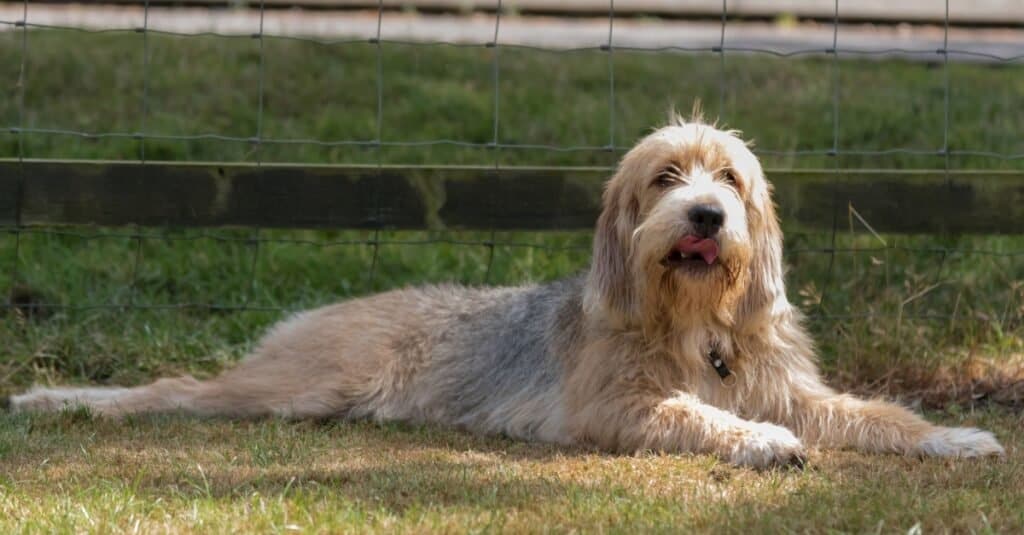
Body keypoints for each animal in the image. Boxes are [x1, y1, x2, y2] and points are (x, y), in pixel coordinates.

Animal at [8, 113, 1003, 467]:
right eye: (666, 176)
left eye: (730, 177)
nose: (706, 214)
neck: (698, 327)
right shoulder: (620, 407)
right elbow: (700, 414)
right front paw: (758, 440)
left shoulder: (796, 388)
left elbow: (873, 412)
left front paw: (952, 435)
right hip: (292, 385)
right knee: (171, 389)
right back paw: (57, 400)